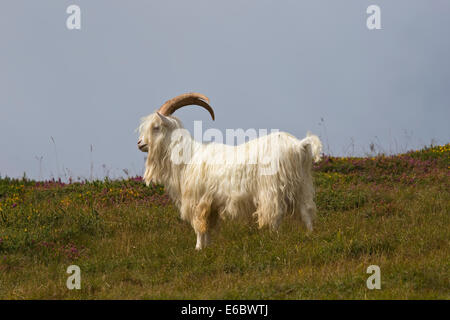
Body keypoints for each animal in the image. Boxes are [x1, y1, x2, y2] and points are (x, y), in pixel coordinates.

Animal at [135, 92, 322, 250]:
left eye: (156, 127)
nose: (140, 143)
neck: (189, 157)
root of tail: (298, 145)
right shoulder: (211, 204)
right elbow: (208, 227)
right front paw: (207, 248)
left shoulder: (197, 201)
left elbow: (199, 226)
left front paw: (197, 249)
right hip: (302, 185)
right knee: (306, 211)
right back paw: (310, 236)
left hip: (272, 188)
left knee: (275, 214)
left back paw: (272, 240)